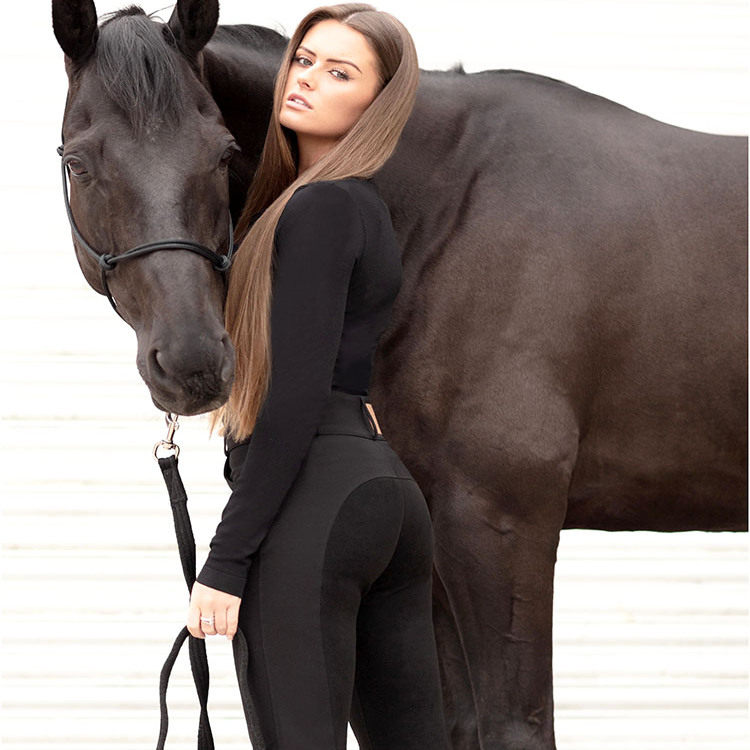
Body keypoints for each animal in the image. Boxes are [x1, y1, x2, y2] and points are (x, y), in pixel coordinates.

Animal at [52, 2, 748, 748]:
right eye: (78, 161)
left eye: (223, 152)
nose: (192, 361)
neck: (448, 211)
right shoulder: (433, 542)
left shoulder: (503, 522)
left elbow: (515, 724)